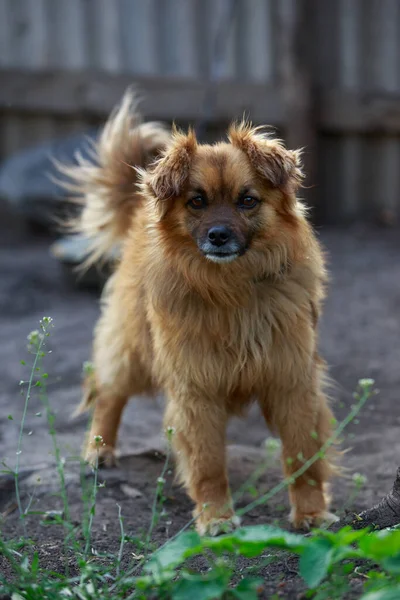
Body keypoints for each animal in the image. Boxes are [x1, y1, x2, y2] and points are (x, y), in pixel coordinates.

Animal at [58, 90, 338, 536]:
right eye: (197, 201)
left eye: (247, 200)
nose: (218, 235)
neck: (231, 289)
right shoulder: (196, 389)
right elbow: (207, 463)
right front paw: (216, 517)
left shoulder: (292, 380)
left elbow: (302, 455)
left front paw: (311, 513)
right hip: (133, 347)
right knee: (108, 393)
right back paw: (99, 449)